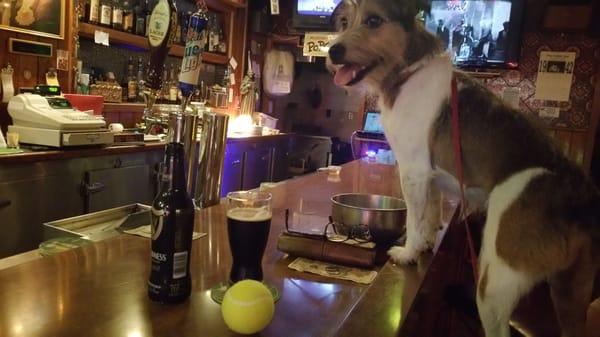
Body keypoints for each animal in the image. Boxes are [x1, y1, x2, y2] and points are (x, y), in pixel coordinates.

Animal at [328, 0, 600, 336]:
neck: (407, 70)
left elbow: (414, 220)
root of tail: (581, 197)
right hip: (571, 295)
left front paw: (408, 253)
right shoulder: (428, 178)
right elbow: (430, 214)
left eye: (374, 21)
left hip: (493, 285)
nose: (332, 51)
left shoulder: (414, 171)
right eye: (343, 23)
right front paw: (426, 245)